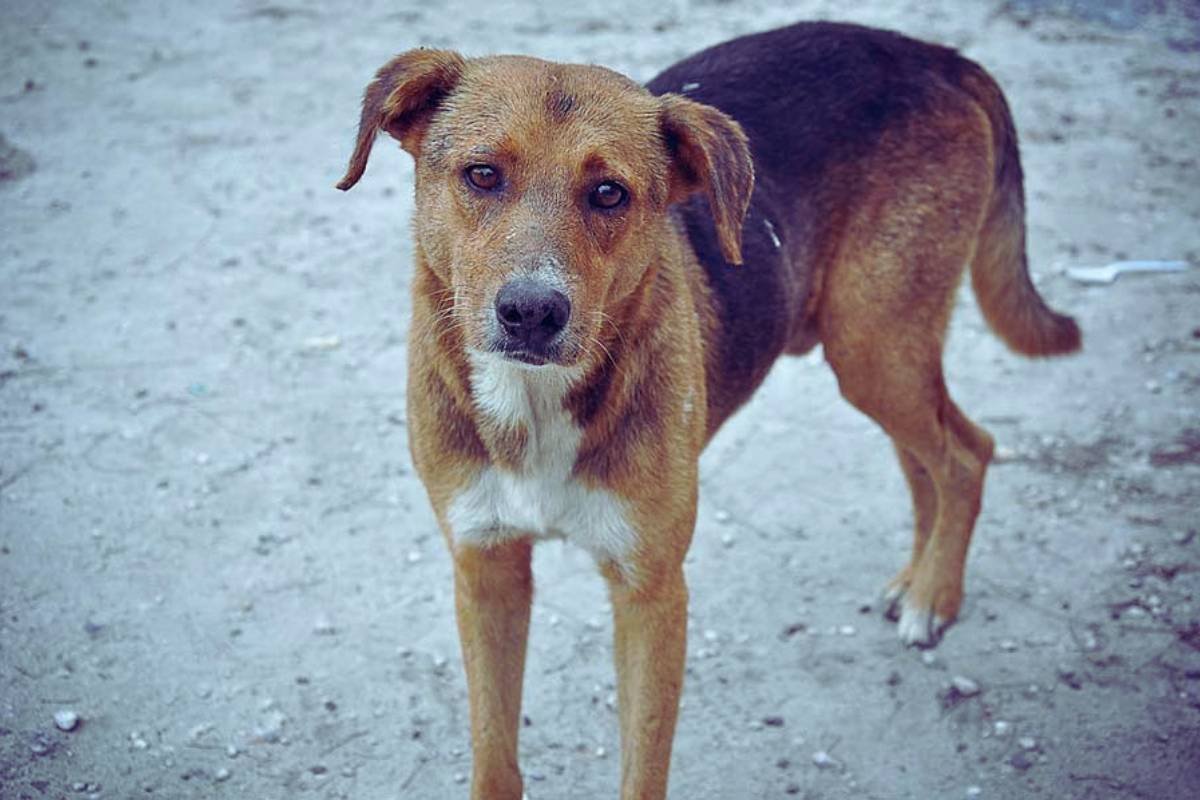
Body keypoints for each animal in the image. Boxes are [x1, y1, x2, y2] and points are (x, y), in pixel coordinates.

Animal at [336, 21, 1080, 800]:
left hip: (875, 343)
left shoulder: (652, 594)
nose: (532, 313)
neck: (533, 403)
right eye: (482, 175)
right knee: (928, 456)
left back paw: (934, 596)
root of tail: (930, 53)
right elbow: (493, 758)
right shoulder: (486, 571)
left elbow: (643, 769)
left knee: (968, 451)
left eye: (609, 193)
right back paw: (918, 579)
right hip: (877, 352)